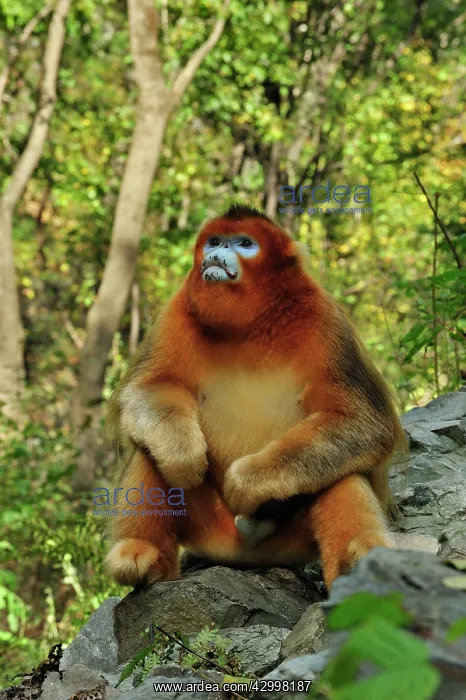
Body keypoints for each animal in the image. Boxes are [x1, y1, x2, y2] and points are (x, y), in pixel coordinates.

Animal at [105, 204, 405, 590]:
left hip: (288, 540)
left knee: (341, 468)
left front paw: (248, 481)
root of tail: (245, 551)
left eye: (245, 243)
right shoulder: (177, 311)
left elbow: (365, 422)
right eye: (215, 240)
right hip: (210, 527)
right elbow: (148, 389)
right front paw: (184, 454)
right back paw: (144, 555)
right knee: (150, 450)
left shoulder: (328, 321)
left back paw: (358, 558)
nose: (217, 252)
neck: (250, 325)